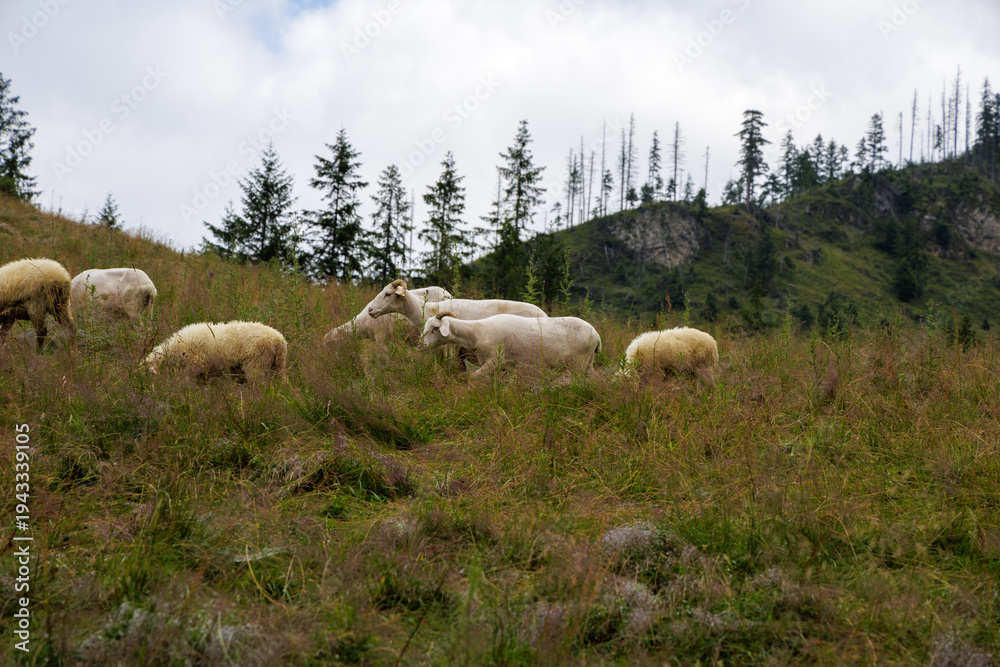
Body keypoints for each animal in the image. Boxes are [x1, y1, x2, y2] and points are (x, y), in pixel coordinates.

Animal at [420, 311, 602, 378]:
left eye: (435, 328)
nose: (421, 346)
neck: (477, 332)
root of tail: (597, 335)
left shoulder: (494, 360)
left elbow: (473, 378)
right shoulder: (504, 367)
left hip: (579, 362)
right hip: (588, 361)